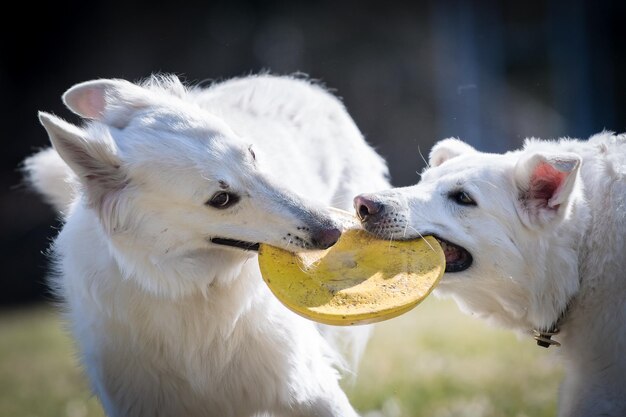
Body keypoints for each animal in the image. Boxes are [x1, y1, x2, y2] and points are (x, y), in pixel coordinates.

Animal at [26, 75, 388, 416]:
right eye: (221, 199)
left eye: (252, 155)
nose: (335, 233)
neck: (188, 288)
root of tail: (300, 83)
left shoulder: (311, 389)